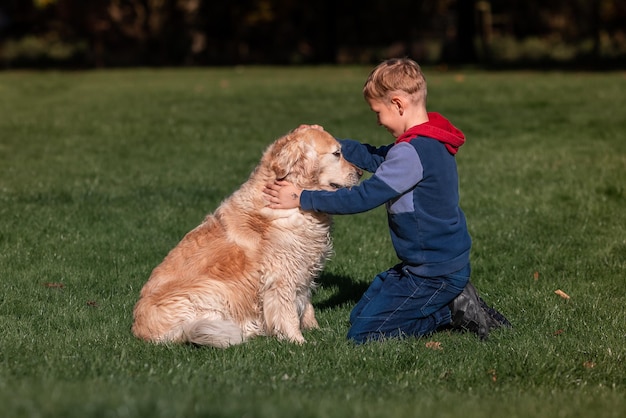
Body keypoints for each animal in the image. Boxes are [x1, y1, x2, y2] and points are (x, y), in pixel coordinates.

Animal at [130, 125, 360, 348]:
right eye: (337, 153)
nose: (359, 173)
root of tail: (139, 331)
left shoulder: (303, 267)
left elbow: (306, 303)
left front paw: (316, 329)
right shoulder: (281, 275)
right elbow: (288, 312)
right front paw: (298, 341)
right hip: (212, 290)